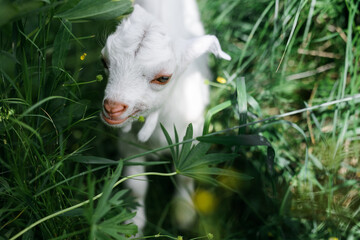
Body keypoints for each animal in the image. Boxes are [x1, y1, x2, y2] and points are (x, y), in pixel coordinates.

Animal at [100, 0, 231, 232]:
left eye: (163, 78)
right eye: (104, 61)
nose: (112, 107)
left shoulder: (192, 133)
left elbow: (186, 174)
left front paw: (183, 213)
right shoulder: (129, 142)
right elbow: (136, 185)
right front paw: (133, 224)